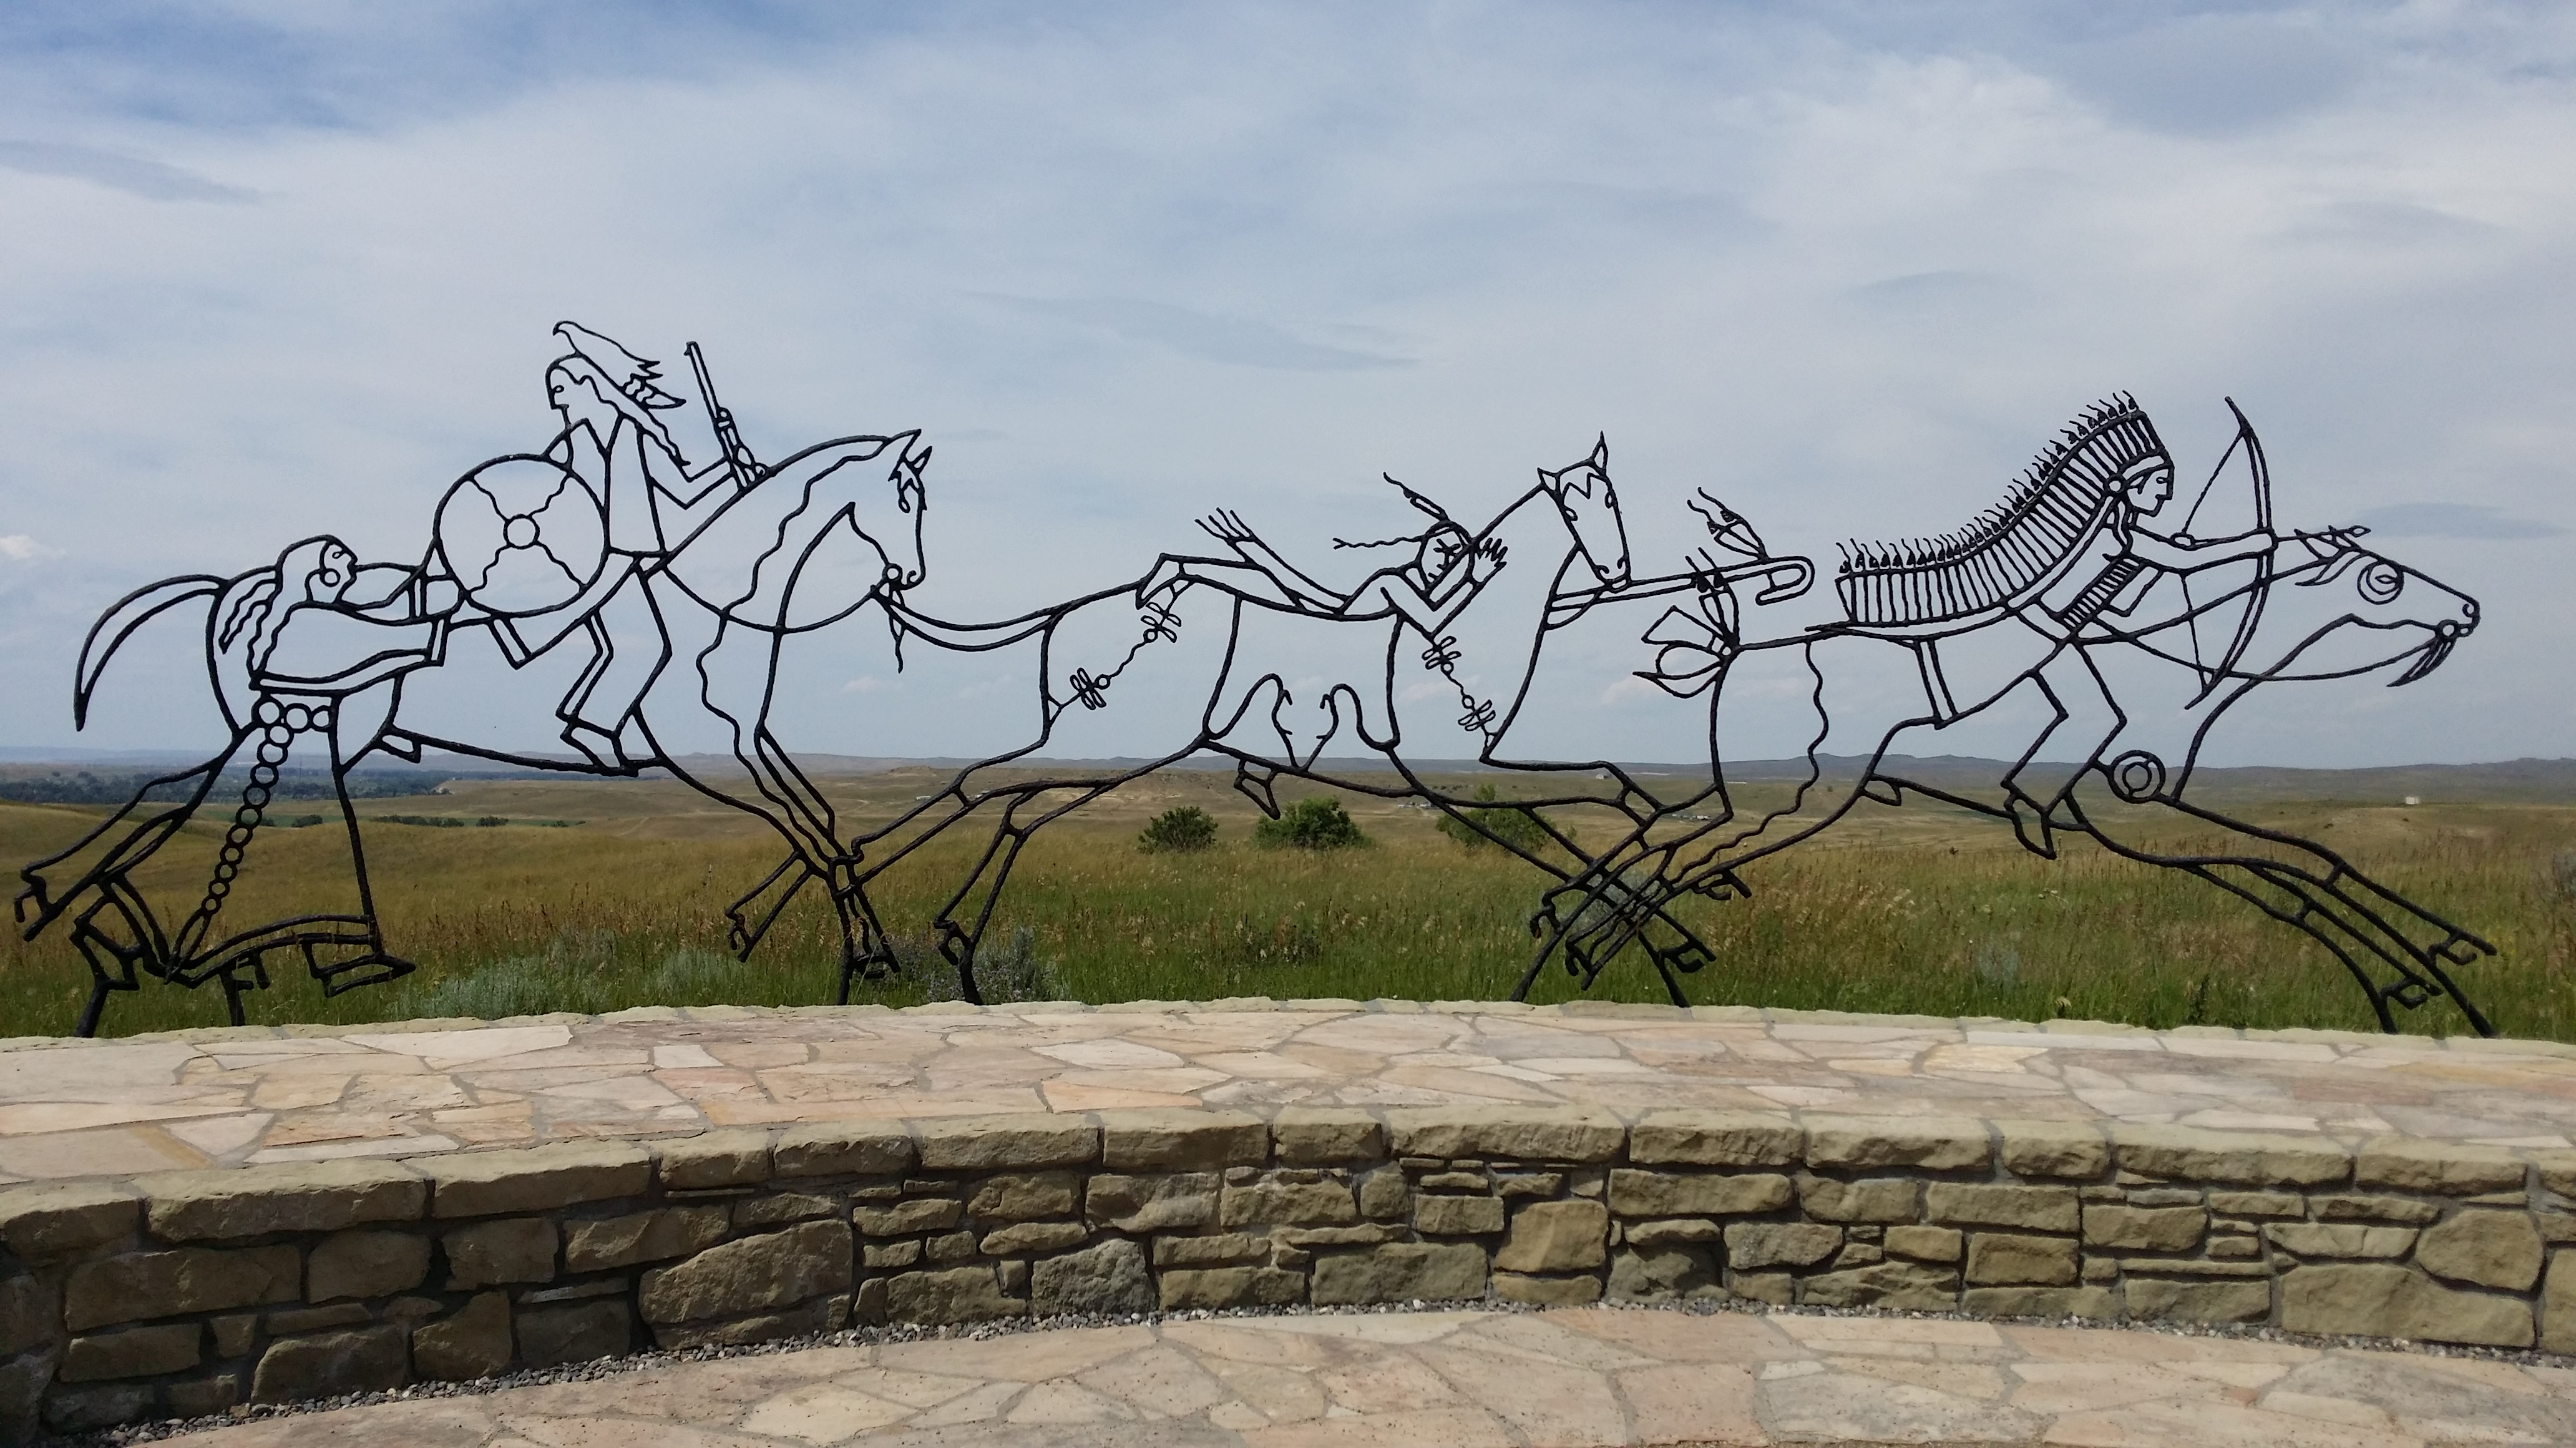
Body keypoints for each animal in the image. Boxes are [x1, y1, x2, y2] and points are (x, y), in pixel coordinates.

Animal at [1527, 524, 2495, 1033]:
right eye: (2382, 578)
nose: (2471, 609)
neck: (2184, 661)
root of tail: (1740, 648)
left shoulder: (2159, 822)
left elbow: (2302, 876)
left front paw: (2433, 968)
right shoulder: (2140, 805)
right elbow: (2303, 867)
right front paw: (2427, 973)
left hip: (1765, 794)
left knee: (1659, 837)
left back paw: (1584, 934)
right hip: (1809, 797)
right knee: (1673, 858)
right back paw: (1593, 950)